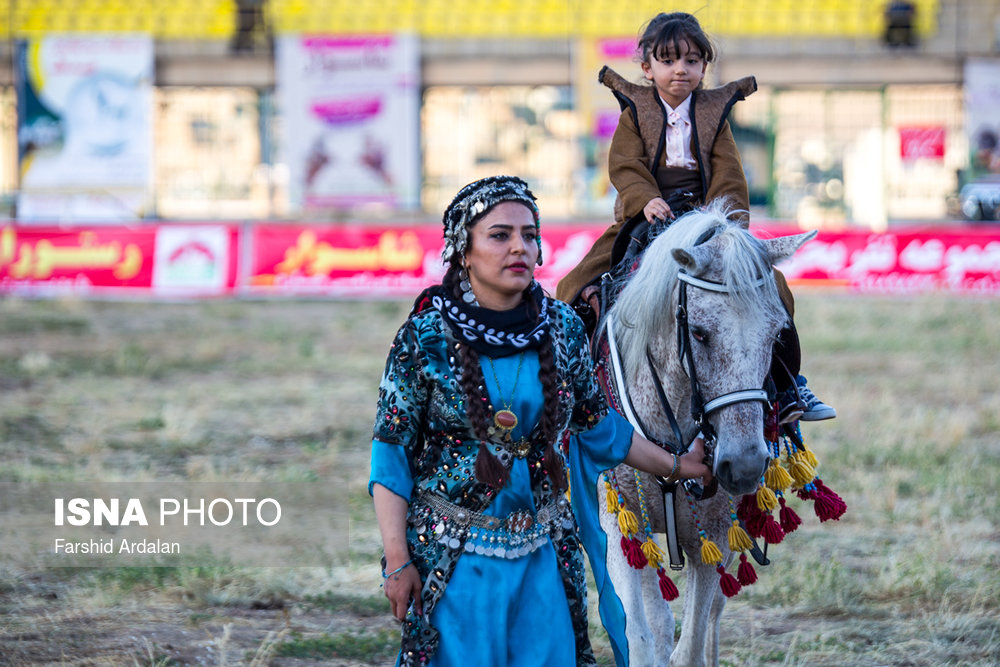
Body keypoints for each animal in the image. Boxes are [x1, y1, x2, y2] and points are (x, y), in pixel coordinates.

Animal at [592, 205, 812, 667]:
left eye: (778, 333)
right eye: (698, 332)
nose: (744, 464)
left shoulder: (713, 536)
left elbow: (691, 642)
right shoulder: (619, 524)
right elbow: (640, 634)